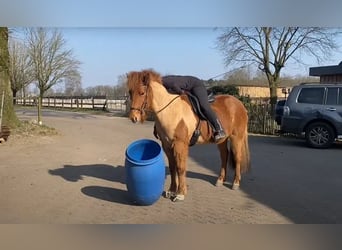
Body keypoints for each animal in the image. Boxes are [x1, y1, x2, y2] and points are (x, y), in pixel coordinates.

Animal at [127, 69, 250, 202]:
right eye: (130, 92)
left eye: (142, 92)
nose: (133, 118)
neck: (170, 110)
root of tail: (239, 104)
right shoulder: (167, 145)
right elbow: (172, 167)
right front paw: (171, 190)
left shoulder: (180, 144)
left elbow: (180, 167)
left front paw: (180, 193)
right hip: (222, 140)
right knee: (224, 156)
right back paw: (220, 180)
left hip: (236, 138)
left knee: (237, 158)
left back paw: (235, 183)